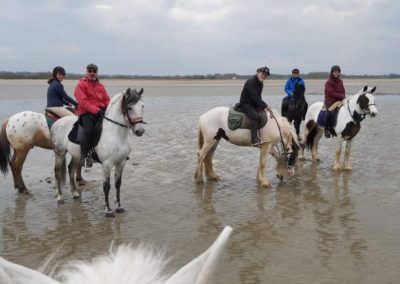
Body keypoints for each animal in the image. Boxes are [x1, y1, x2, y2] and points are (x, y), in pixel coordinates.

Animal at [50, 87, 145, 216]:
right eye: (129, 107)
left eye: (142, 106)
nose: (140, 131)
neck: (116, 134)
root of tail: (58, 121)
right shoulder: (107, 164)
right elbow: (106, 186)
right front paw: (108, 210)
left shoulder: (121, 163)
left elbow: (118, 184)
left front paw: (119, 206)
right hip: (59, 153)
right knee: (58, 172)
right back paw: (60, 198)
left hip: (77, 156)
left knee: (71, 169)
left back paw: (75, 194)